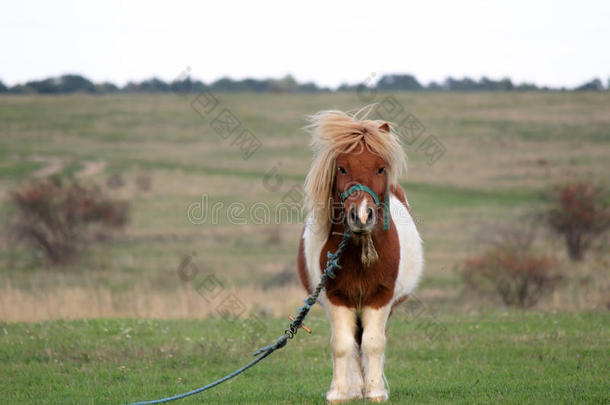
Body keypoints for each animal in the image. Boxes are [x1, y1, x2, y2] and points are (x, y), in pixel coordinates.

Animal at [296, 106, 422, 400]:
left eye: (380, 168)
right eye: (342, 168)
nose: (362, 216)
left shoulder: (381, 299)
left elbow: (374, 343)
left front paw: (375, 392)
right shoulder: (336, 298)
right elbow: (342, 345)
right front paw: (339, 393)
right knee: (353, 342)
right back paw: (355, 388)